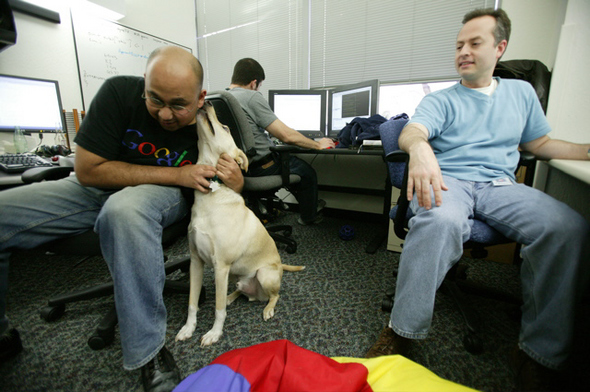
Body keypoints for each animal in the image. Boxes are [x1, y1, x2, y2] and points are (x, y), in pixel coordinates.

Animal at [176, 101, 306, 346]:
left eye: (225, 127)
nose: (208, 101)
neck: (212, 191)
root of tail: (279, 266)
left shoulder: (220, 266)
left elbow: (218, 310)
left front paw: (214, 333)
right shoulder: (196, 262)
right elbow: (191, 303)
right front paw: (188, 329)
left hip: (263, 274)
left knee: (275, 295)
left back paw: (268, 309)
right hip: (236, 275)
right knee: (242, 292)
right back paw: (231, 296)